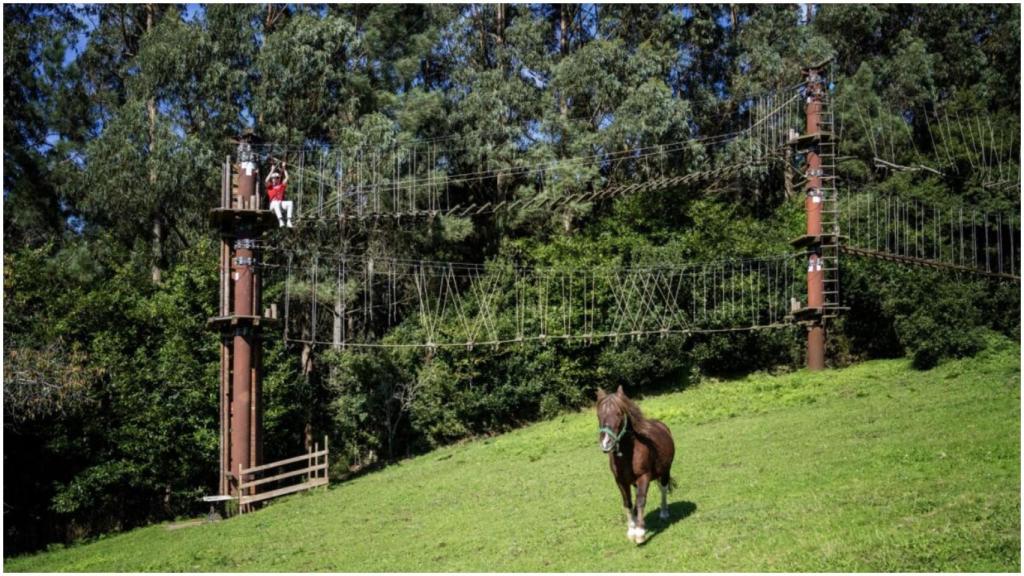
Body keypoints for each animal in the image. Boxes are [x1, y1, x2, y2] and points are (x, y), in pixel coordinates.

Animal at [598, 383, 675, 541]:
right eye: (599, 414)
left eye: (619, 413)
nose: (606, 443)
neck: (628, 454)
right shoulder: (620, 481)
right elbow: (627, 503)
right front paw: (631, 529)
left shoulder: (643, 477)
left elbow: (640, 500)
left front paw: (639, 532)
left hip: (665, 472)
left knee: (663, 489)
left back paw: (664, 513)